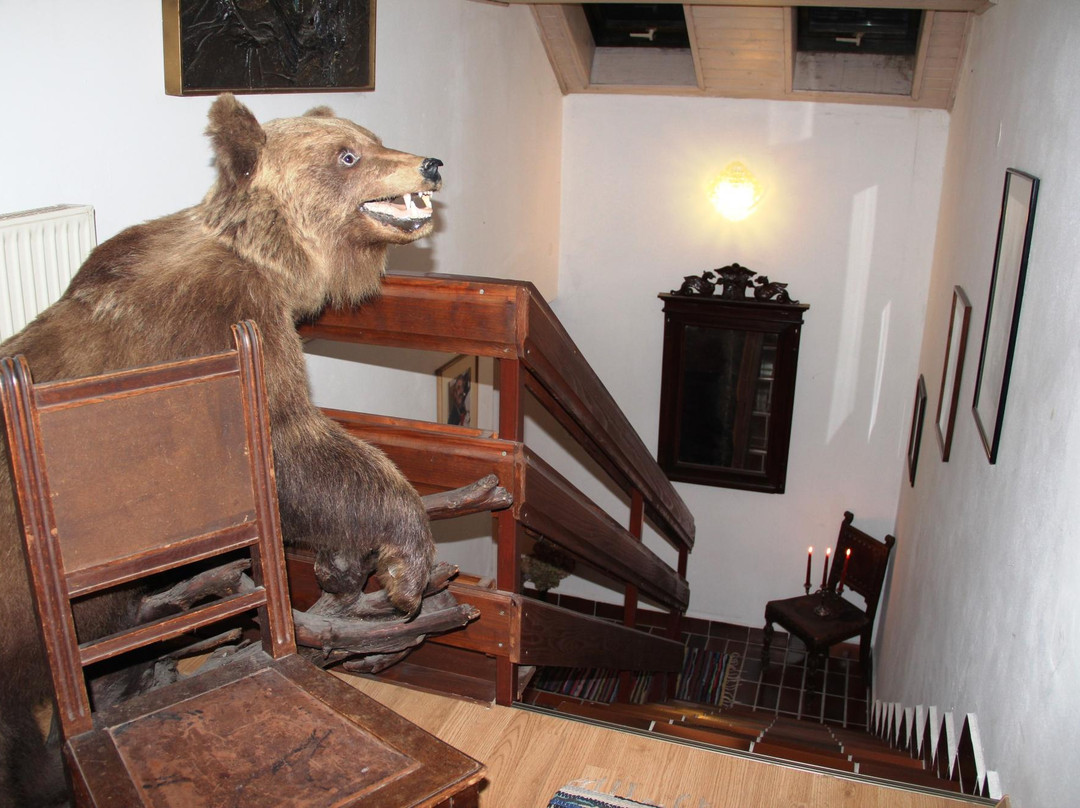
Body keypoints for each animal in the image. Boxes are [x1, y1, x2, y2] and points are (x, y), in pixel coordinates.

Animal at [0, 93, 442, 806]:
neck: (274, 261)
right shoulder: (225, 327)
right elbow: (284, 449)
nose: (429, 163)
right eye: (347, 155)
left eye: (370, 136)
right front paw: (406, 565)